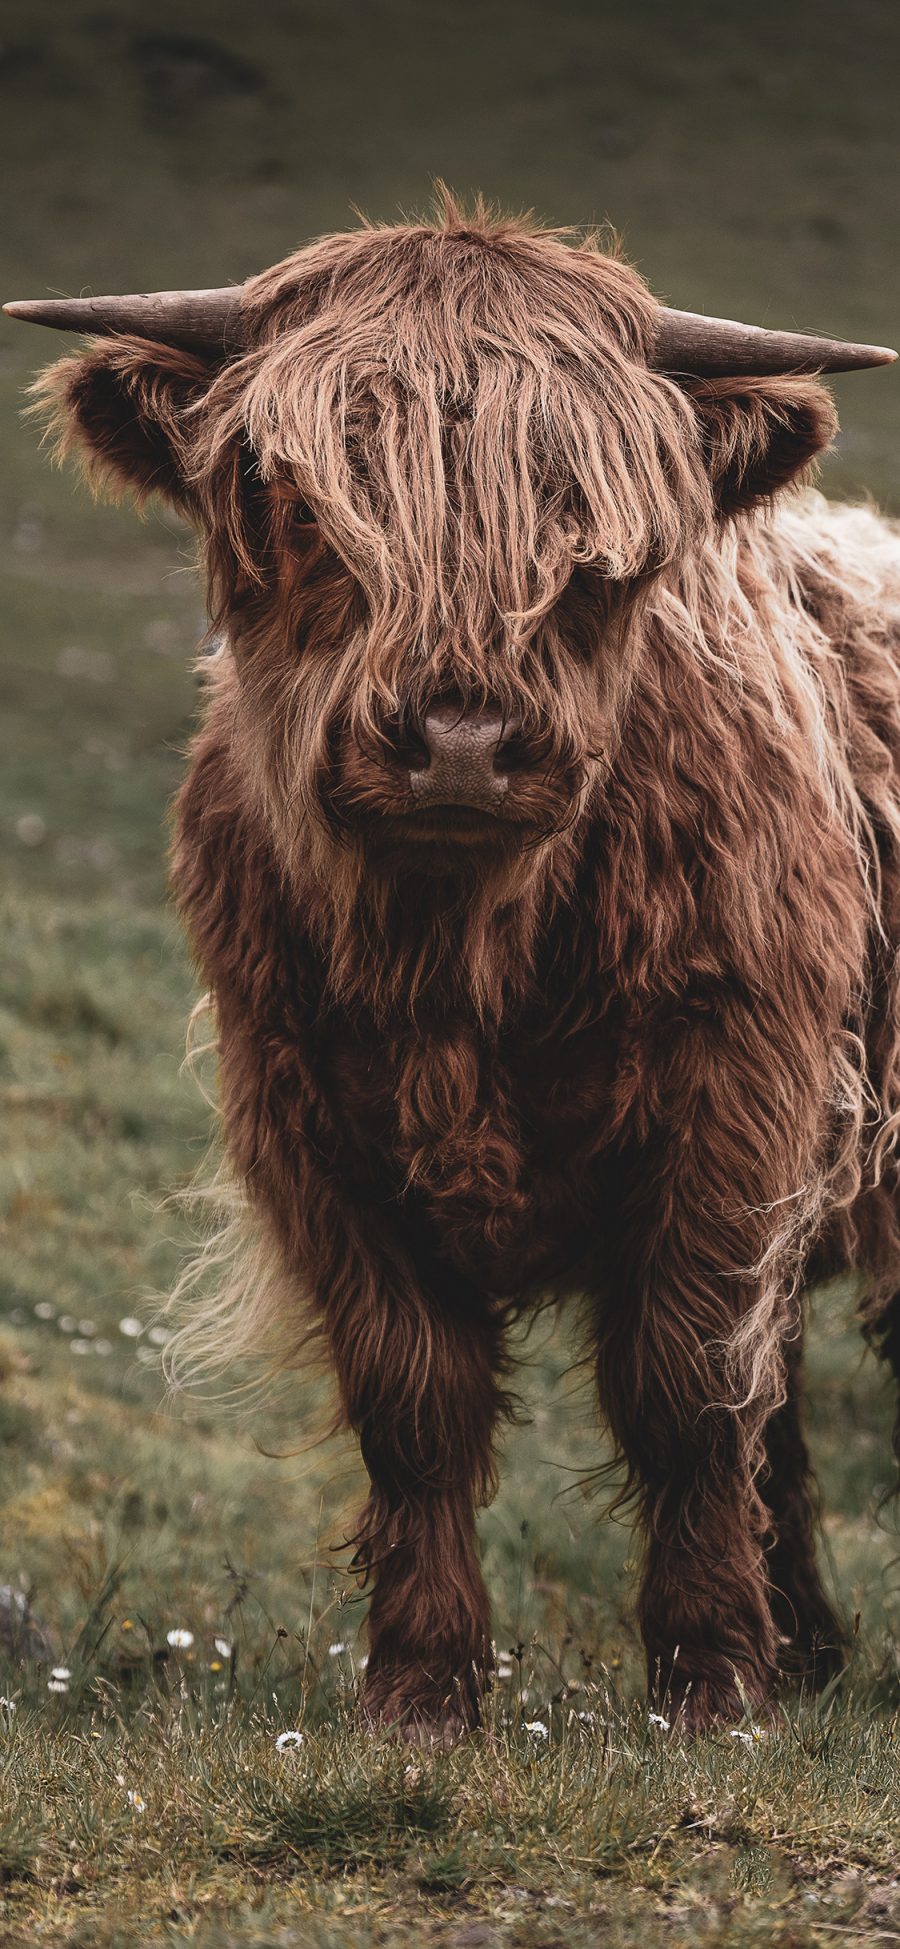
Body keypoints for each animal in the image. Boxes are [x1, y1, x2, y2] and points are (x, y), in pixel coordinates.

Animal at [8, 197, 900, 1746]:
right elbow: (414, 1401)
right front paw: (421, 1687)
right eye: (290, 495)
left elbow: (685, 1380)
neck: (464, 949)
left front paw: (712, 1678)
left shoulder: (737, 1102)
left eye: (595, 525)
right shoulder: (308, 1120)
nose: (464, 740)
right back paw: (815, 1647)